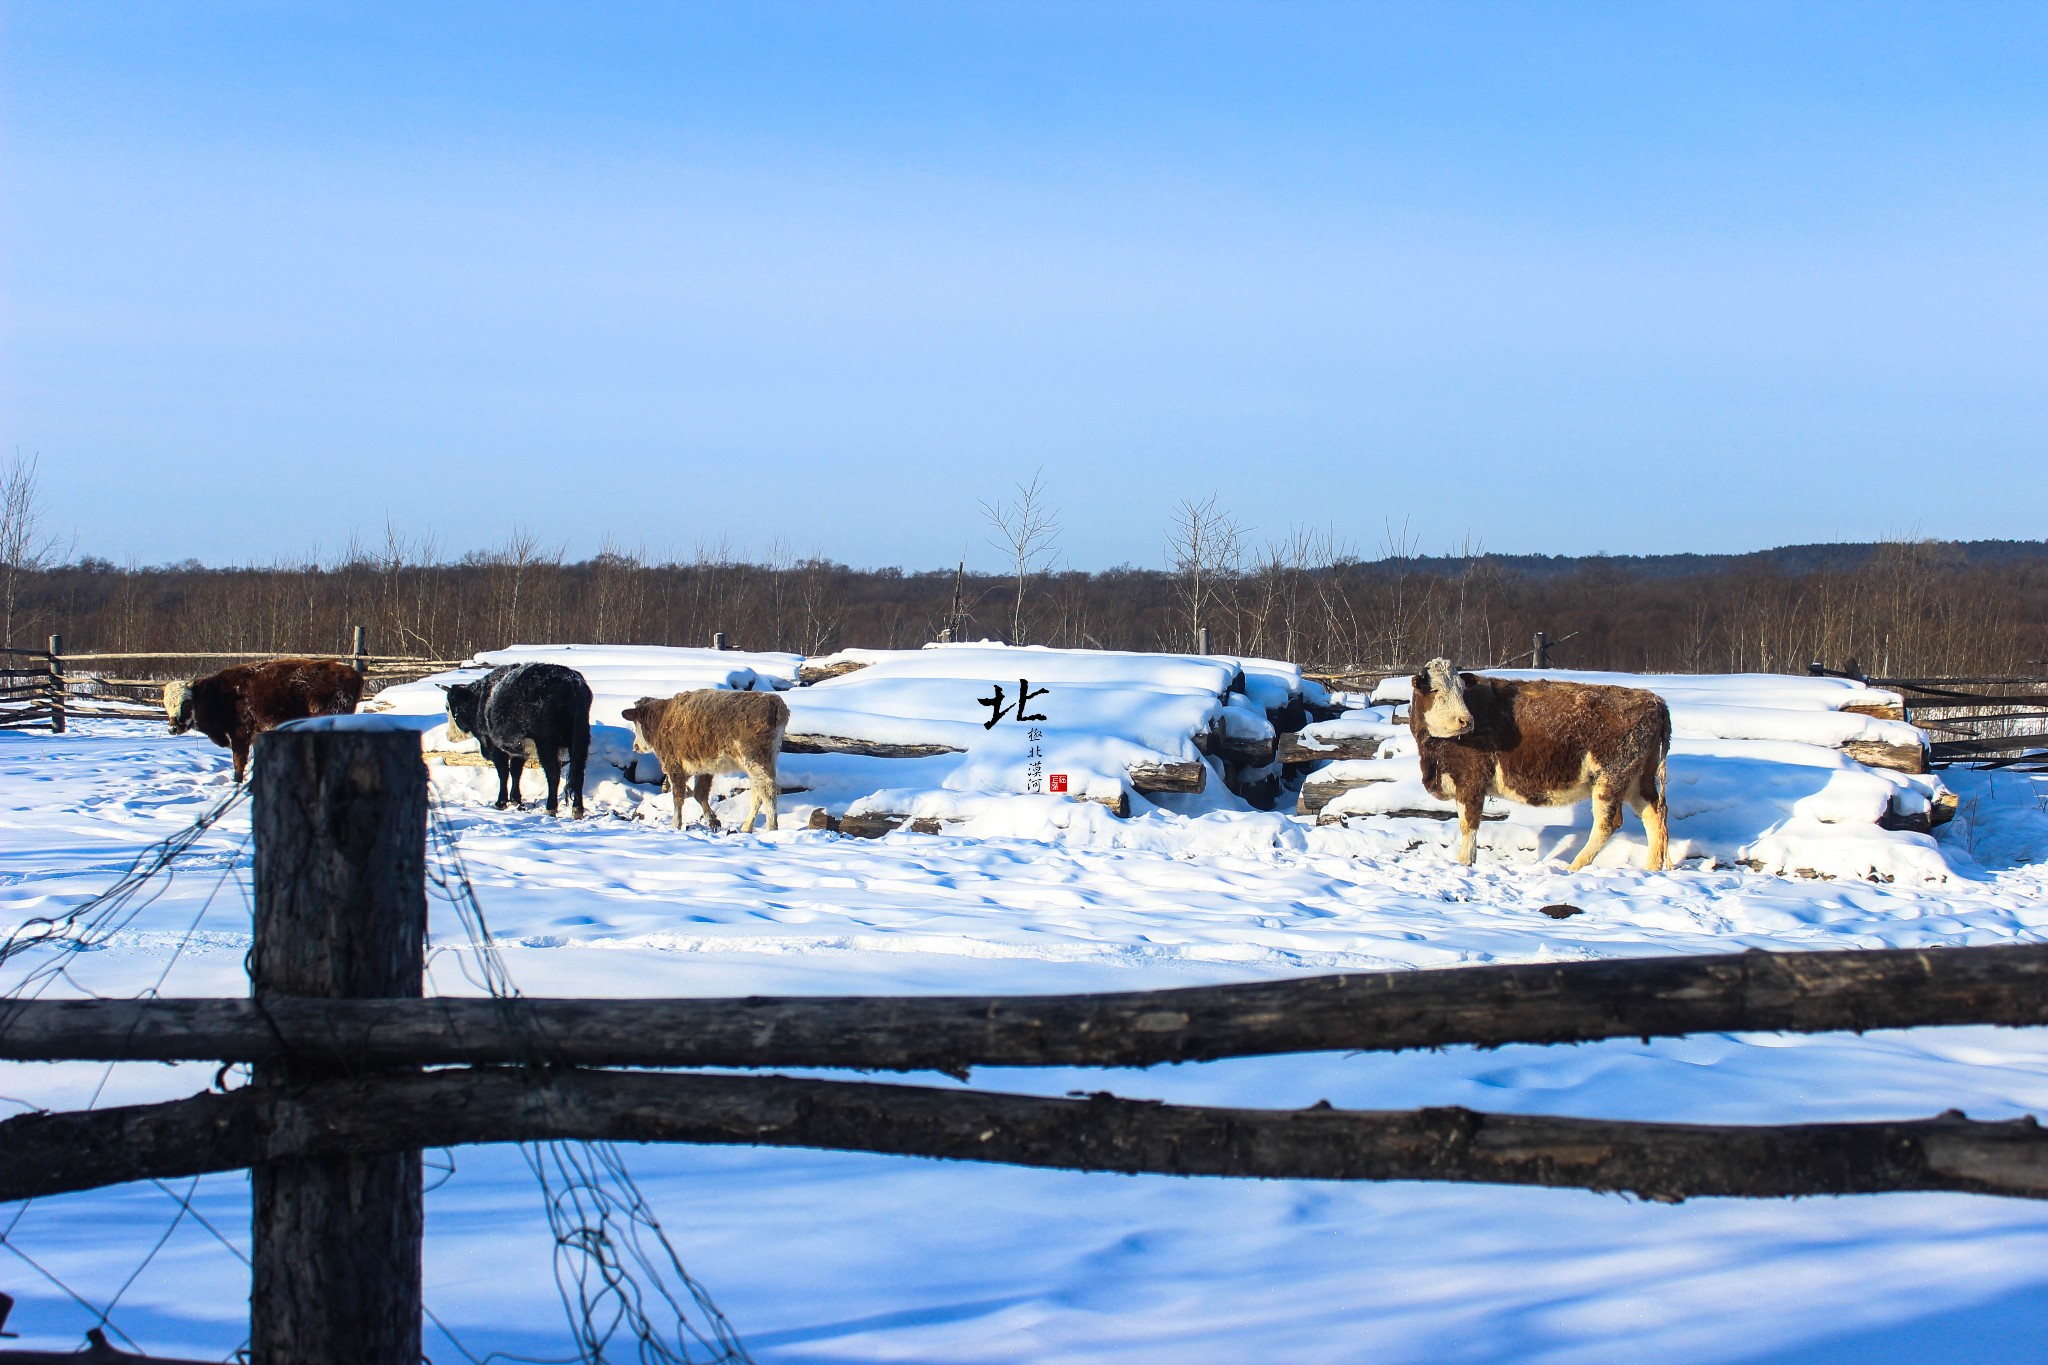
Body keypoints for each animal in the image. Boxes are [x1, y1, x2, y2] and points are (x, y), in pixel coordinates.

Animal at [165, 658, 366, 785]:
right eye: (166, 704)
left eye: (186, 703)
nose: (172, 728)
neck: (218, 694)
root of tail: (352, 673)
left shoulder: (240, 733)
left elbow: (238, 760)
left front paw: (236, 783)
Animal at [438, 663, 589, 818]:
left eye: (448, 707)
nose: (448, 736)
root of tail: (572, 683)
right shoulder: (519, 749)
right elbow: (516, 771)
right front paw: (516, 799)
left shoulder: (495, 746)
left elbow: (503, 772)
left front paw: (501, 802)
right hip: (581, 737)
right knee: (578, 773)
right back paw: (577, 810)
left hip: (546, 742)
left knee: (553, 773)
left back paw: (550, 808)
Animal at [618, 695, 786, 834]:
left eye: (635, 722)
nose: (635, 746)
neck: (660, 718)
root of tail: (774, 702)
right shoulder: (703, 769)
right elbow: (699, 794)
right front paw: (713, 821)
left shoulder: (675, 767)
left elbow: (678, 797)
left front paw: (675, 825)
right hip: (766, 761)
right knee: (758, 792)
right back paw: (747, 828)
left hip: (754, 760)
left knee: (766, 790)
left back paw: (771, 828)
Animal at [1409, 654, 1679, 871]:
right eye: (1435, 690)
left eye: (1461, 689)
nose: (1466, 720)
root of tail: (1654, 700)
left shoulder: (1471, 782)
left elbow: (1468, 825)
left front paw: (1464, 862)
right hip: (1639, 779)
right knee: (1654, 814)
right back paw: (1652, 868)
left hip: (1611, 778)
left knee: (1608, 823)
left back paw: (1574, 866)